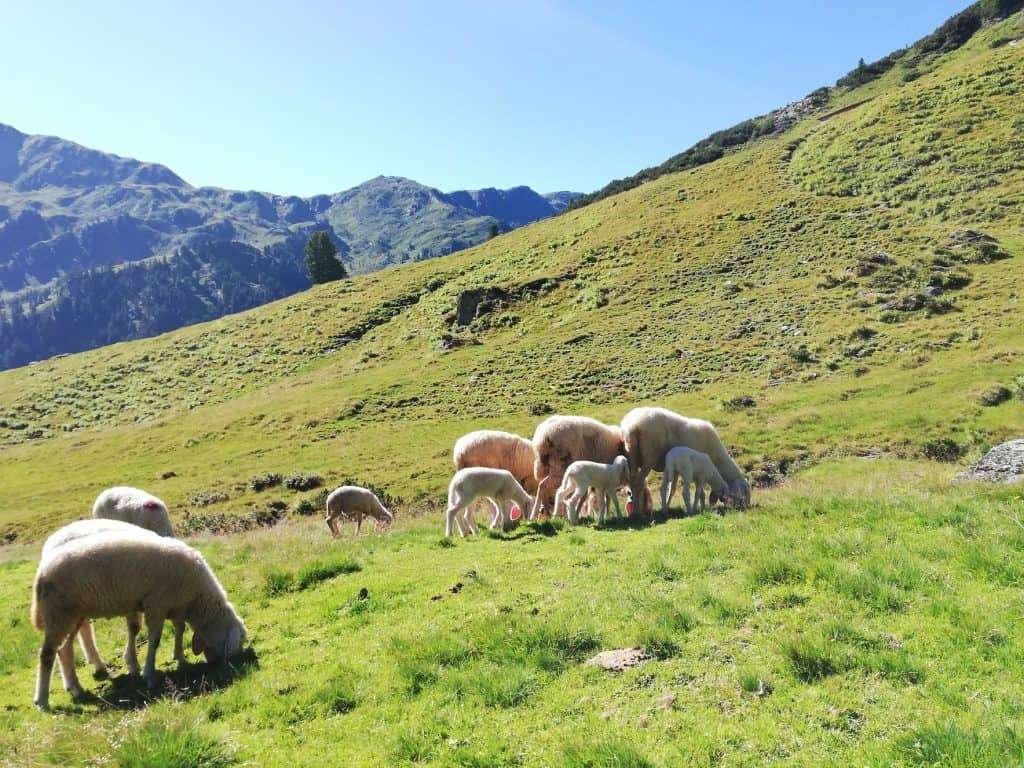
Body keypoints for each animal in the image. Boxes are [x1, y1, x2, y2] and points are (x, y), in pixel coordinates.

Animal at [31, 527, 246, 709]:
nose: (224, 665)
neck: (197, 599)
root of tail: (41, 571)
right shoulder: (156, 605)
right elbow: (155, 641)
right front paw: (149, 675)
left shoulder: (174, 606)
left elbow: (179, 629)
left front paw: (180, 657)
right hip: (58, 613)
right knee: (47, 654)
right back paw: (42, 700)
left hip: (72, 615)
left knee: (64, 650)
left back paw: (75, 688)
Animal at [620, 407, 751, 516]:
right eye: (745, 492)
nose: (747, 507)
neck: (717, 457)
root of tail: (630, 426)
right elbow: (699, 491)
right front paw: (698, 507)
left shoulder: (674, 470)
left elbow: (672, 489)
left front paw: (667, 506)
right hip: (649, 457)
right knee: (638, 484)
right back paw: (637, 512)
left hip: (632, 459)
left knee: (632, 483)